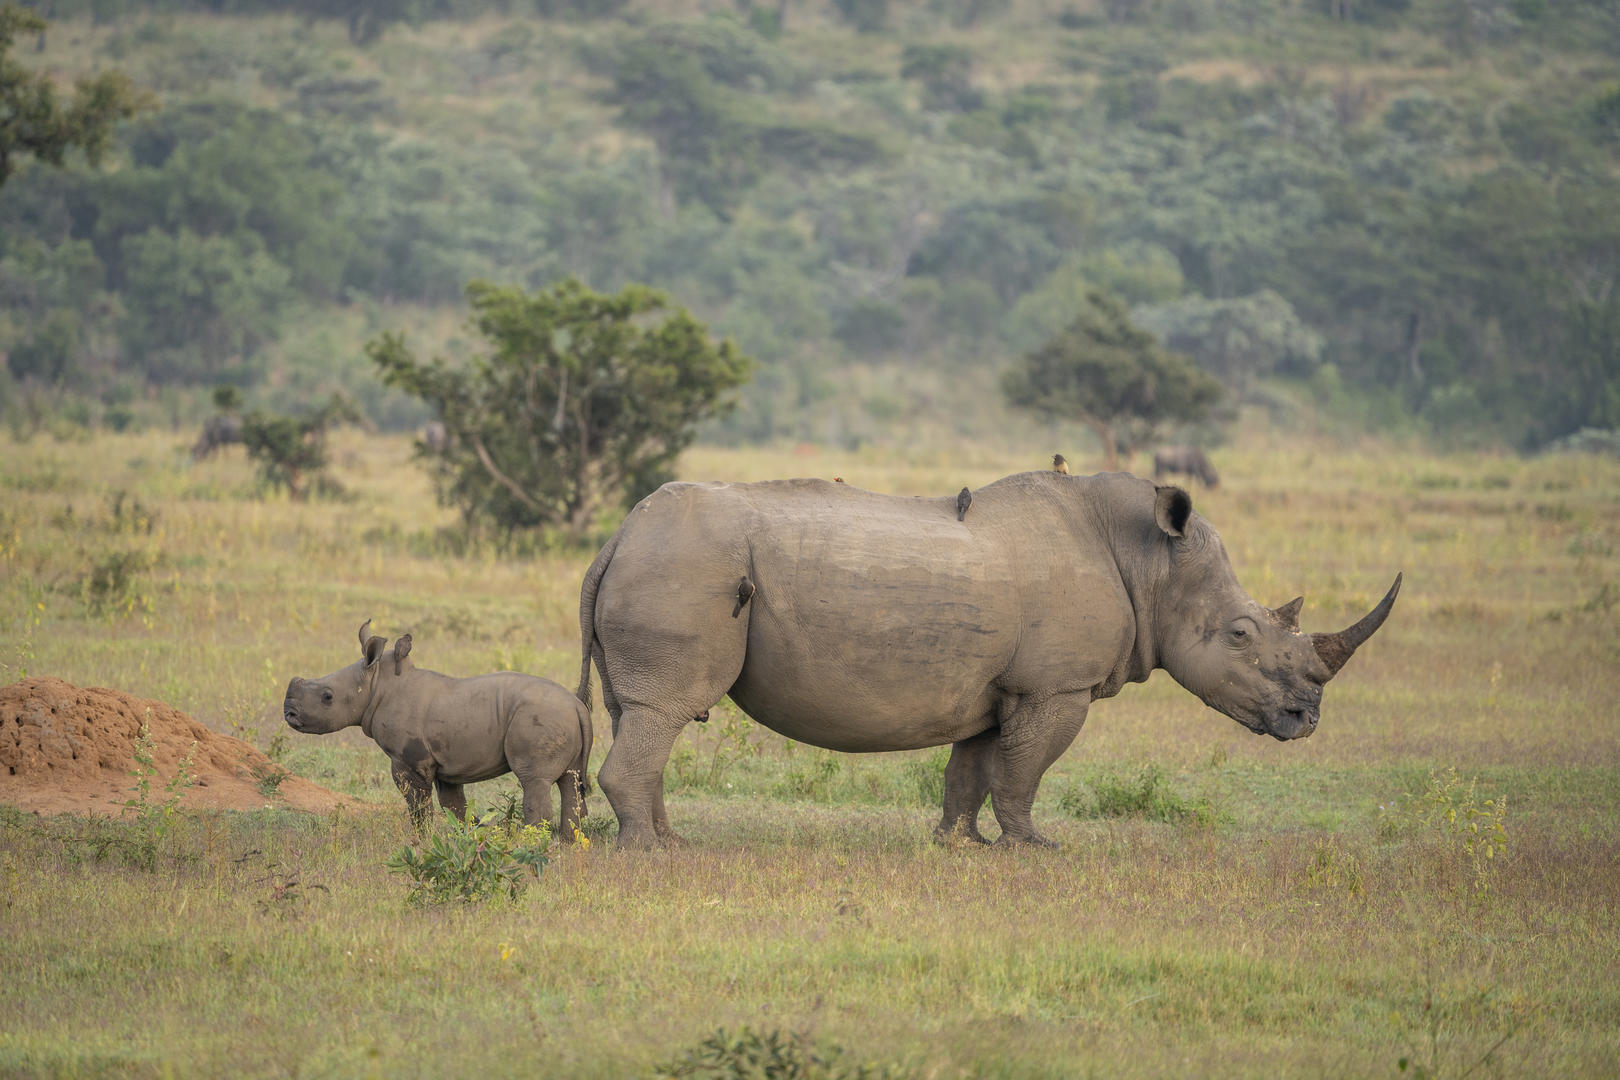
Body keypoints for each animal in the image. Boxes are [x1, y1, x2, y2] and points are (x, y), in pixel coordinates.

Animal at [284, 622, 592, 829]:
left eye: (327, 697)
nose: (289, 714)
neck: (377, 684)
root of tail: (578, 706)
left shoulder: (409, 760)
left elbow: (418, 805)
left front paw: (421, 839)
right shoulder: (447, 766)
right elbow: (455, 807)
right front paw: (464, 836)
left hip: (541, 718)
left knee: (534, 781)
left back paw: (534, 845)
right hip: (560, 717)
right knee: (571, 782)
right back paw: (569, 846)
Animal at [576, 471, 1399, 849]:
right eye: (1239, 635)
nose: (1306, 719)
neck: (1149, 561)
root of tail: (616, 537)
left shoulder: (994, 686)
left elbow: (972, 767)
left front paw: (959, 845)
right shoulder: (1056, 687)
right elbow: (1025, 768)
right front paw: (1035, 847)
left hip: (664, 563)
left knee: (636, 711)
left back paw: (663, 841)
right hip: (684, 566)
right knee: (664, 709)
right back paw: (657, 854)